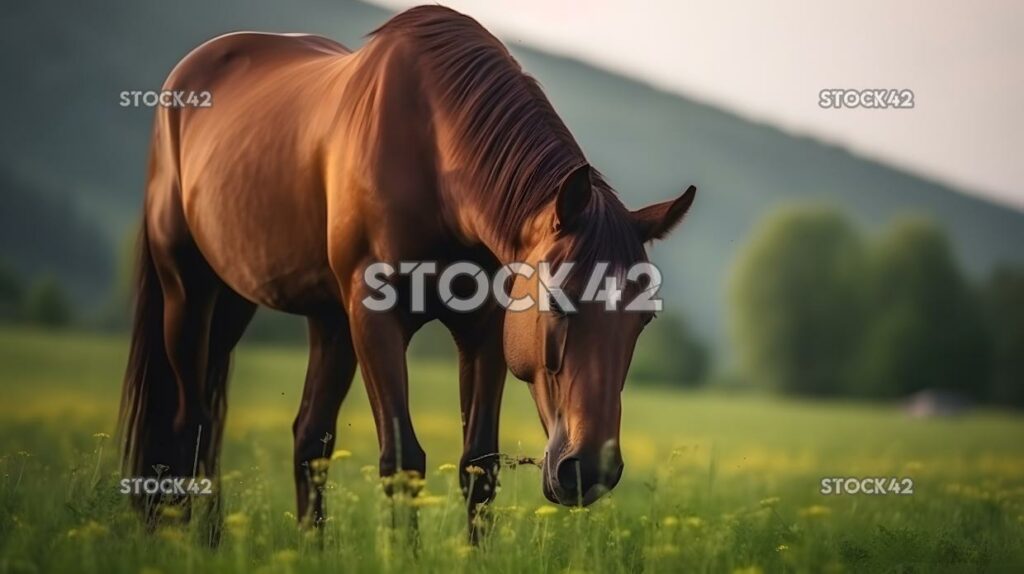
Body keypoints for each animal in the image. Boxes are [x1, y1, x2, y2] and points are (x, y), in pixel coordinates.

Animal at [119, 4, 696, 540]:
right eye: (557, 301)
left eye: (643, 320)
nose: (591, 471)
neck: (433, 160)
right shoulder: (376, 320)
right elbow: (402, 461)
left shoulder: (485, 330)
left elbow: (478, 466)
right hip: (189, 293)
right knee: (190, 422)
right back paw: (191, 538)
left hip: (280, 310)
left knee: (302, 436)